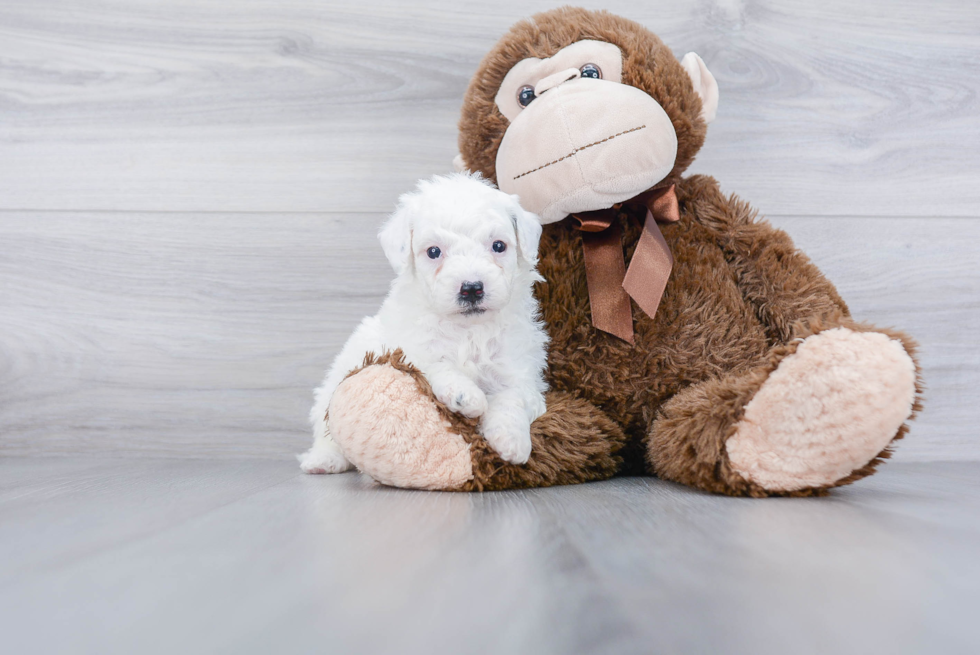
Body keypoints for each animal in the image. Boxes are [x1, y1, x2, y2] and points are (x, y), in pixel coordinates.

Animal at [298, 172, 552, 474]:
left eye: (498, 246)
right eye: (433, 252)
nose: (471, 288)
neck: (467, 330)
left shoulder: (520, 371)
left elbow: (511, 398)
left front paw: (512, 441)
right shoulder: (406, 349)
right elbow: (435, 364)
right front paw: (465, 396)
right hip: (334, 384)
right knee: (327, 429)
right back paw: (324, 459)